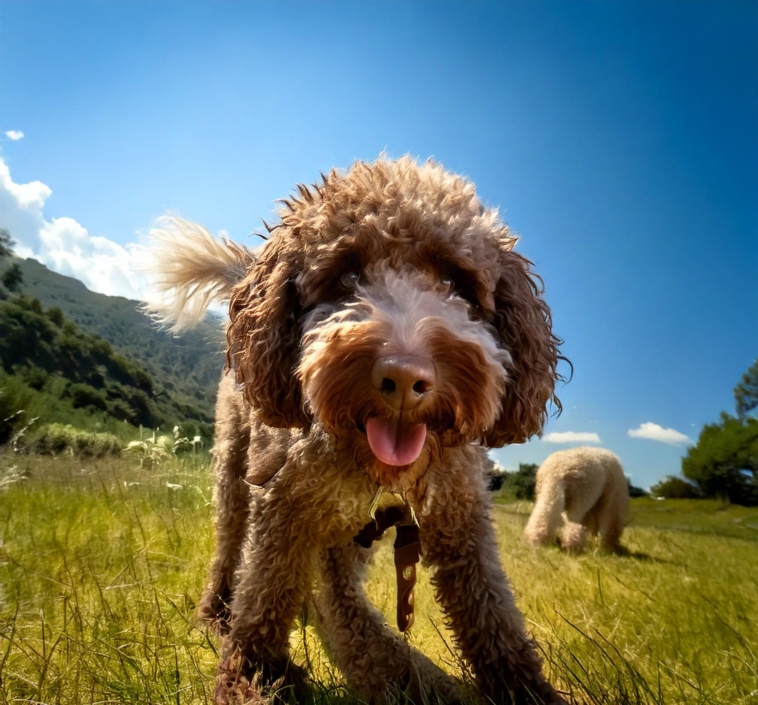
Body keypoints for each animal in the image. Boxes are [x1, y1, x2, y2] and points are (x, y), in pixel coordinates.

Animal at [142, 157, 568, 700]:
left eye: (456, 282)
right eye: (347, 275)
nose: (405, 379)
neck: (379, 474)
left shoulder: (462, 519)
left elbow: (492, 614)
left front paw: (523, 688)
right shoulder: (283, 507)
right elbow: (264, 592)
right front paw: (251, 677)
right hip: (237, 472)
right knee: (231, 548)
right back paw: (217, 614)